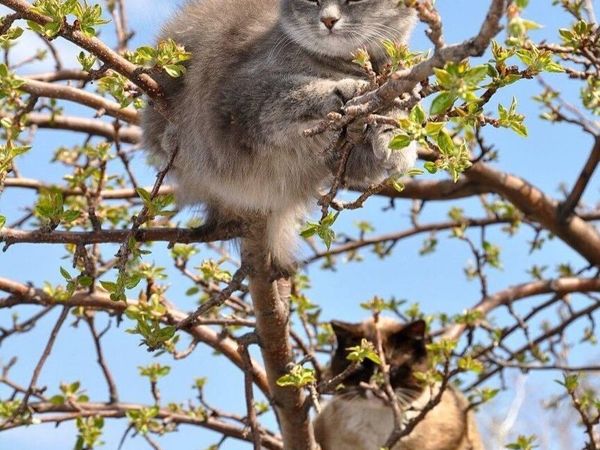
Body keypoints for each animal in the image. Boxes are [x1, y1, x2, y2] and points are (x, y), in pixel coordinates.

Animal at [144, 0, 420, 270]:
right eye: (312, 1)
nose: (328, 19)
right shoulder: (238, 94)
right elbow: (294, 92)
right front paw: (345, 91)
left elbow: (394, 114)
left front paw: (396, 140)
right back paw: (173, 139)